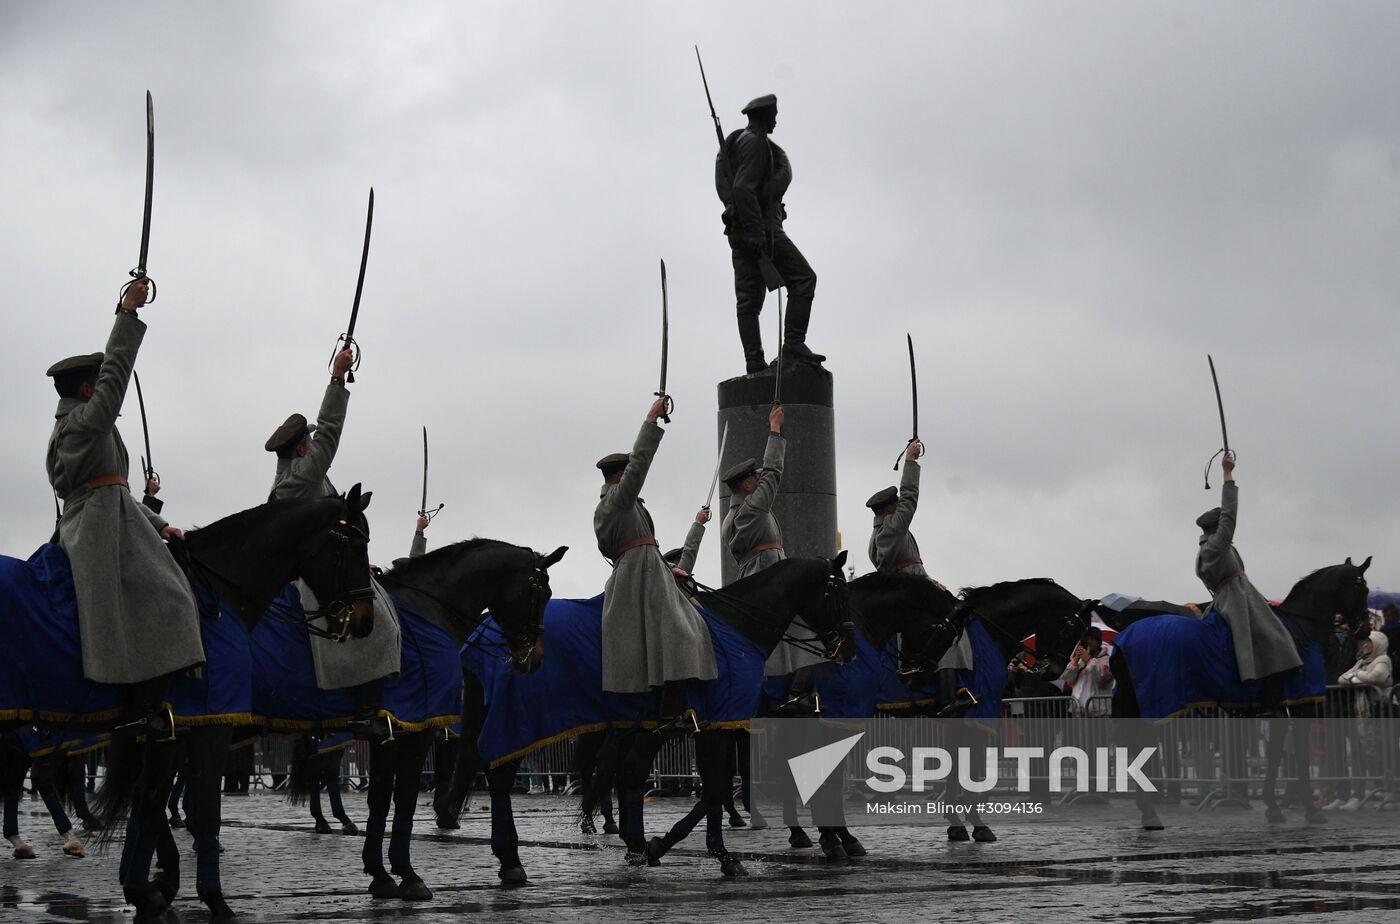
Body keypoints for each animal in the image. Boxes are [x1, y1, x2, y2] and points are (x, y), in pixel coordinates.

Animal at [1108, 557, 1372, 828]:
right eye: (1361, 589)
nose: (1365, 630)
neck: (1299, 630)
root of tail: (1122, 639)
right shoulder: (1300, 705)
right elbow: (1297, 755)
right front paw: (1306, 809)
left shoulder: (1281, 711)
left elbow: (1278, 754)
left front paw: (1274, 806)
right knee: (1139, 744)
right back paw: (1149, 810)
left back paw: (1147, 808)